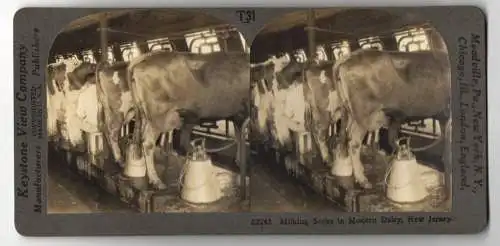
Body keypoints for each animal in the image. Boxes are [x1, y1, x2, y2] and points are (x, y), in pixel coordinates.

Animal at [125, 49, 250, 188]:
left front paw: (238, 160)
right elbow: (240, 137)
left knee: (139, 138)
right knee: (147, 144)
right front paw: (241, 161)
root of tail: (144, 57)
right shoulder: (241, 112)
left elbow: (239, 136)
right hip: (159, 115)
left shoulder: (237, 114)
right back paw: (156, 180)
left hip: (146, 115)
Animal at [330, 49, 452, 189]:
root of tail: (348, 57)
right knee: (354, 142)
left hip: (350, 113)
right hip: (364, 115)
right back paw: (362, 180)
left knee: (346, 135)